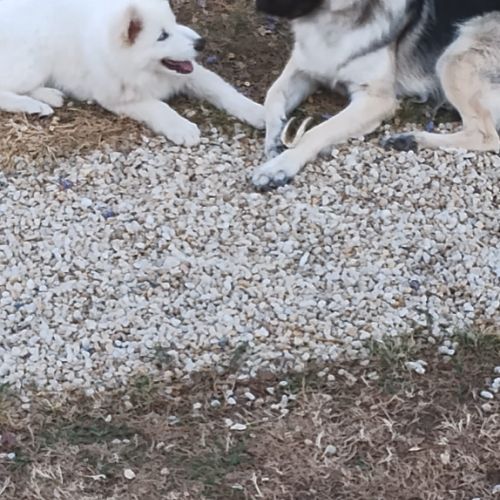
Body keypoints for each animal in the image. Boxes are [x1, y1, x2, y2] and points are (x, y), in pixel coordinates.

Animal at [0, 0, 264, 146]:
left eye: (174, 22)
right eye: (162, 36)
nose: (201, 43)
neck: (146, 70)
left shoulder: (187, 72)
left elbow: (221, 89)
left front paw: (257, 111)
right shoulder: (118, 98)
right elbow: (159, 106)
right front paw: (182, 127)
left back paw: (49, 96)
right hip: (35, 59)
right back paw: (34, 105)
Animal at [252, 0, 500, 190]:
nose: (260, 7)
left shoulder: (376, 100)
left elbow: (317, 131)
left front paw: (279, 166)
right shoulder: (304, 67)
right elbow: (272, 94)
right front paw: (274, 137)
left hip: (455, 57)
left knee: (486, 136)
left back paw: (410, 138)